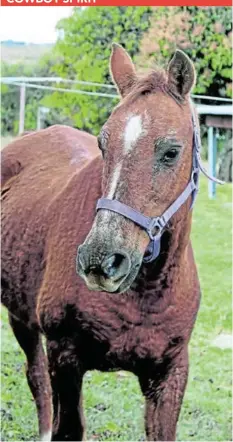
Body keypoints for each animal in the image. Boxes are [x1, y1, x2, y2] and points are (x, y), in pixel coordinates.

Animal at [1, 45, 200, 442]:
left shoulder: (170, 374)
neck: (146, 295)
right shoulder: (65, 359)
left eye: (171, 151)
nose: (102, 261)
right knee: (36, 379)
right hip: (21, 317)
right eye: (102, 144)